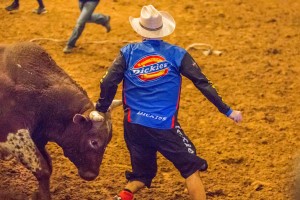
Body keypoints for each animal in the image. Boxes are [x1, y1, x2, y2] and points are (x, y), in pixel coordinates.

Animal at [0, 41, 122, 198]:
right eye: (94, 142)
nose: (92, 175)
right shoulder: (14, 134)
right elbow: (43, 170)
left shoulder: (37, 136)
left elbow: (49, 165)